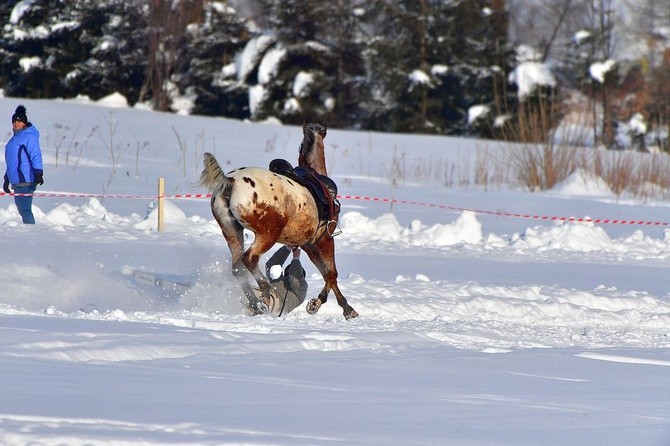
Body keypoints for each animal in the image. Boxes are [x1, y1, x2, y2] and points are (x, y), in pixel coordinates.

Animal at [198, 123, 360, 318]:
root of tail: (230, 181)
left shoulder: (308, 245)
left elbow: (329, 275)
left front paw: (345, 308)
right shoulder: (323, 242)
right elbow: (331, 274)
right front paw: (318, 304)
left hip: (232, 232)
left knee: (237, 267)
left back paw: (256, 304)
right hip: (268, 235)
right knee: (249, 259)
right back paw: (266, 290)